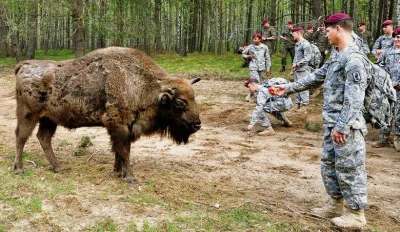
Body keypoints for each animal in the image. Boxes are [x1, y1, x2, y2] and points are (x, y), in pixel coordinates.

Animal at [14, 45, 202, 183]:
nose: (197, 124)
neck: (138, 84)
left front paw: (117, 172)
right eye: (180, 102)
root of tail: (24, 65)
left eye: (194, 97)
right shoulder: (119, 125)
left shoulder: (125, 128)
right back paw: (19, 168)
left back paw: (59, 168)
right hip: (28, 115)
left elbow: (119, 151)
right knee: (21, 137)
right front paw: (130, 177)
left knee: (43, 138)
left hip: (49, 119)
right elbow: (124, 151)